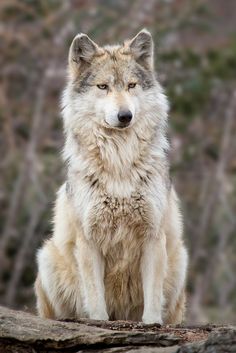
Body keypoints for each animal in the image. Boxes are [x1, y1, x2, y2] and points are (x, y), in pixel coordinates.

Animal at [34, 28, 188, 324]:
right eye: (103, 87)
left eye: (131, 85)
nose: (125, 115)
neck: (120, 164)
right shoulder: (89, 239)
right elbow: (95, 298)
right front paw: (98, 321)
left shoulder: (153, 237)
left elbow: (153, 297)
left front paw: (152, 324)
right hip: (46, 257)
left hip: (180, 261)